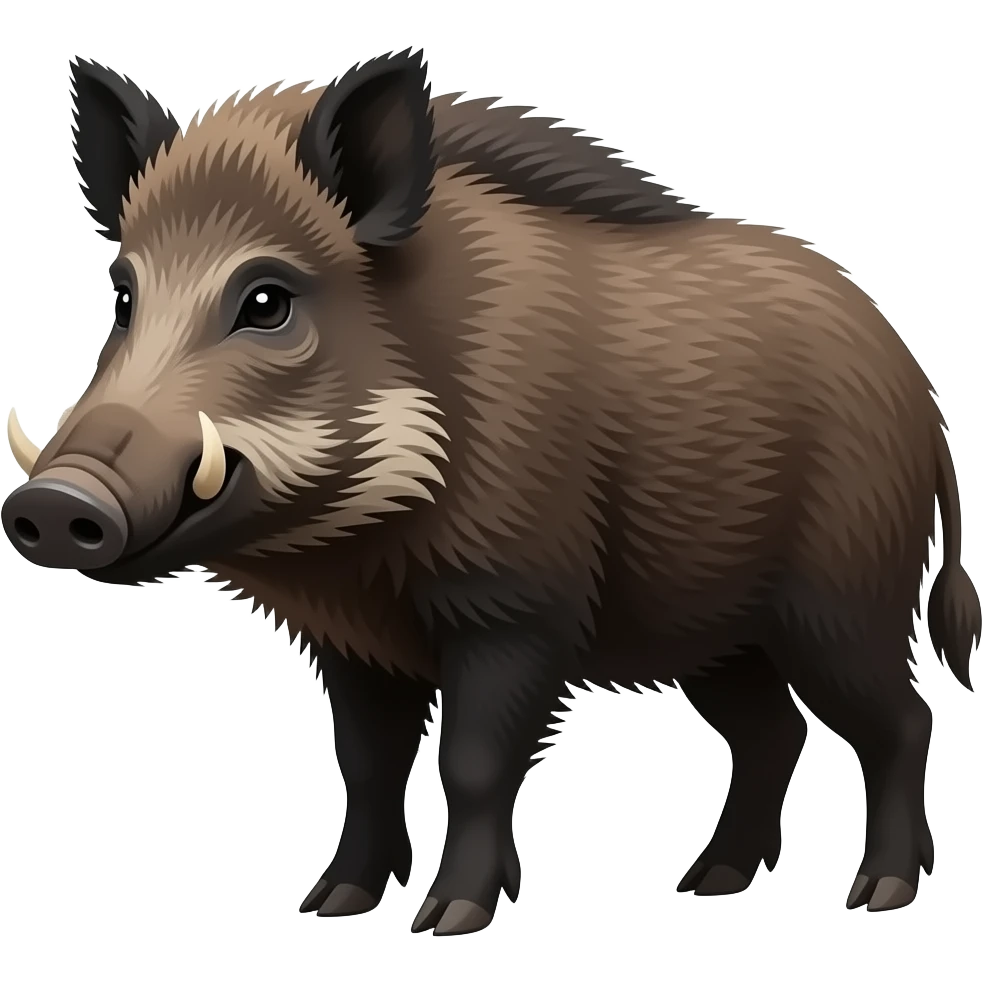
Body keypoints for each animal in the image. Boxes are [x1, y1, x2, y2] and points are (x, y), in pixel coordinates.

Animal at [2, 49, 979, 935]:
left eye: (267, 299)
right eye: (123, 296)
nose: (51, 504)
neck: (357, 548)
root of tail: (919, 391)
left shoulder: (516, 607)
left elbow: (471, 764)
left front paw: (450, 918)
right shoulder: (354, 644)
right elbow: (366, 763)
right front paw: (333, 904)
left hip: (840, 598)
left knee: (902, 719)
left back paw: (877, 894)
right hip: (716, 633)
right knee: (771, 732)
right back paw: (706, 882)